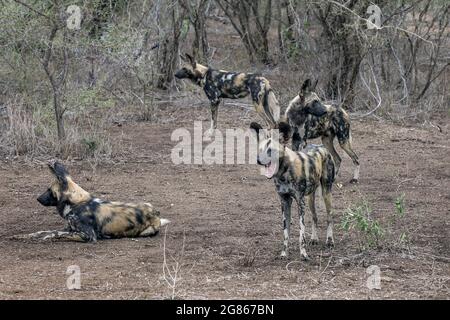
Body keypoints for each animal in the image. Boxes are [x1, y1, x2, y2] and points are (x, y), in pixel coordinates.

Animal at [14, 160, 170, 242]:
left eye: (49, 190)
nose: (37, 198)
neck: (76, 203)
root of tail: (156, 213)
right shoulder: (69, 229)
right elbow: (42, 231)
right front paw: (22, 236)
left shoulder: (87, 235)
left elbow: (55, 234)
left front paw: (45, 238)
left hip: (146, 231)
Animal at [251, 120, 336, 260]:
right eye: (261, 150)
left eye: (271, 150)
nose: (258, 160)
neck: (283, 173)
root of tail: (321, 146)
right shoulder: (285, 202)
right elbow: (286, 233)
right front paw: (284, 253)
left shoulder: (300, 203)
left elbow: (302, 234)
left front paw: (304, 254)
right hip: (310, 199)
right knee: (315, 217)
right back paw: (314, 239)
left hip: (326, 193)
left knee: (330, 217)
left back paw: (330, 240)